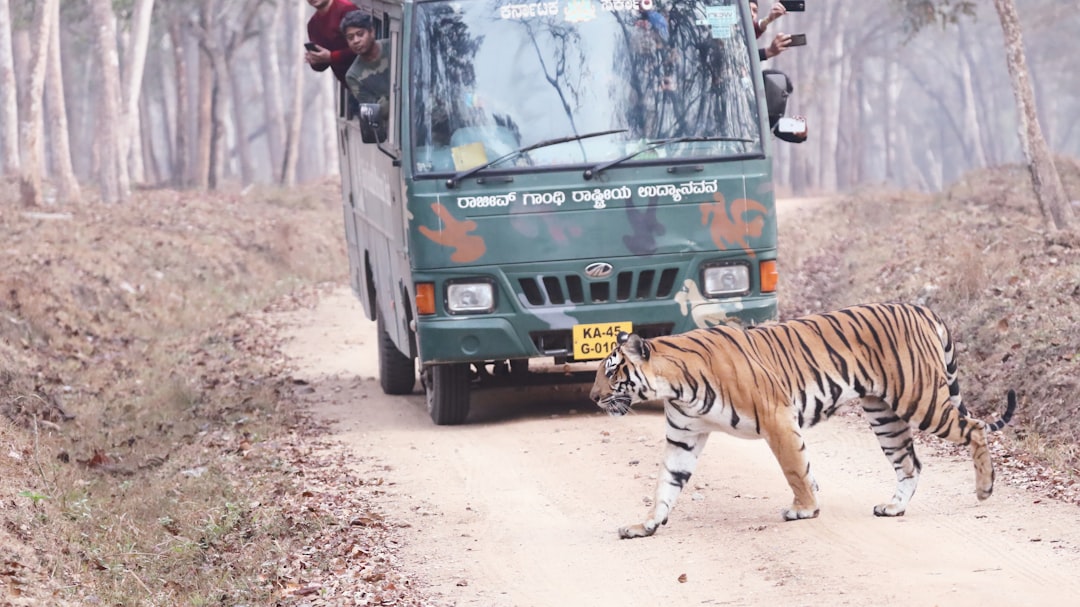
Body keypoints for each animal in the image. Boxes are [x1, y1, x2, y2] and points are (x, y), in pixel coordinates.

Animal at [589, 302, 1016, 539]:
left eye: (610, 371)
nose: (592, 397)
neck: (674, 386)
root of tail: (923, 308)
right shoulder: (684, 438)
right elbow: (665, 485)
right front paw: (645, 525)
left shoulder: (776, 418)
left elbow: (794, 467)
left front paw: (805, 509)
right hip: (885, 415)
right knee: (910, 463)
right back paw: (893, 508)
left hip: (920, 399)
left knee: (975, 428)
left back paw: (984, 489)